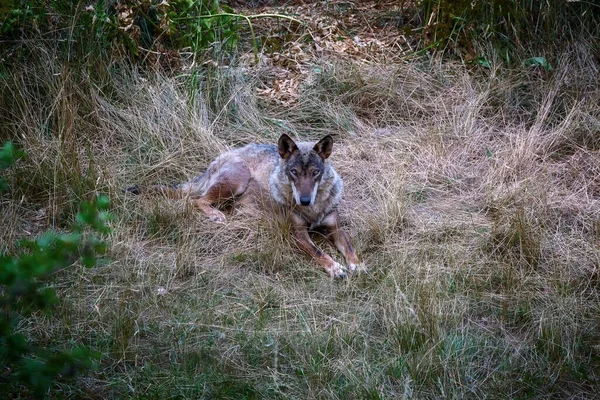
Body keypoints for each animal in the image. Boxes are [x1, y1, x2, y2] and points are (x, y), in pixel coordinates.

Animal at [127, 134, 366, 278]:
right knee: (197, 200)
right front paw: (334, 267)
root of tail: (223, 155)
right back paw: (215, 216)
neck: (313, 210)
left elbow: (350, 248)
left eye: (315, 173)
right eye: (294, 173)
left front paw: (358, 264)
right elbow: (318, 252)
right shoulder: (297, 234)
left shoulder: (336, 228)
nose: (304, 200)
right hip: (237, 181)